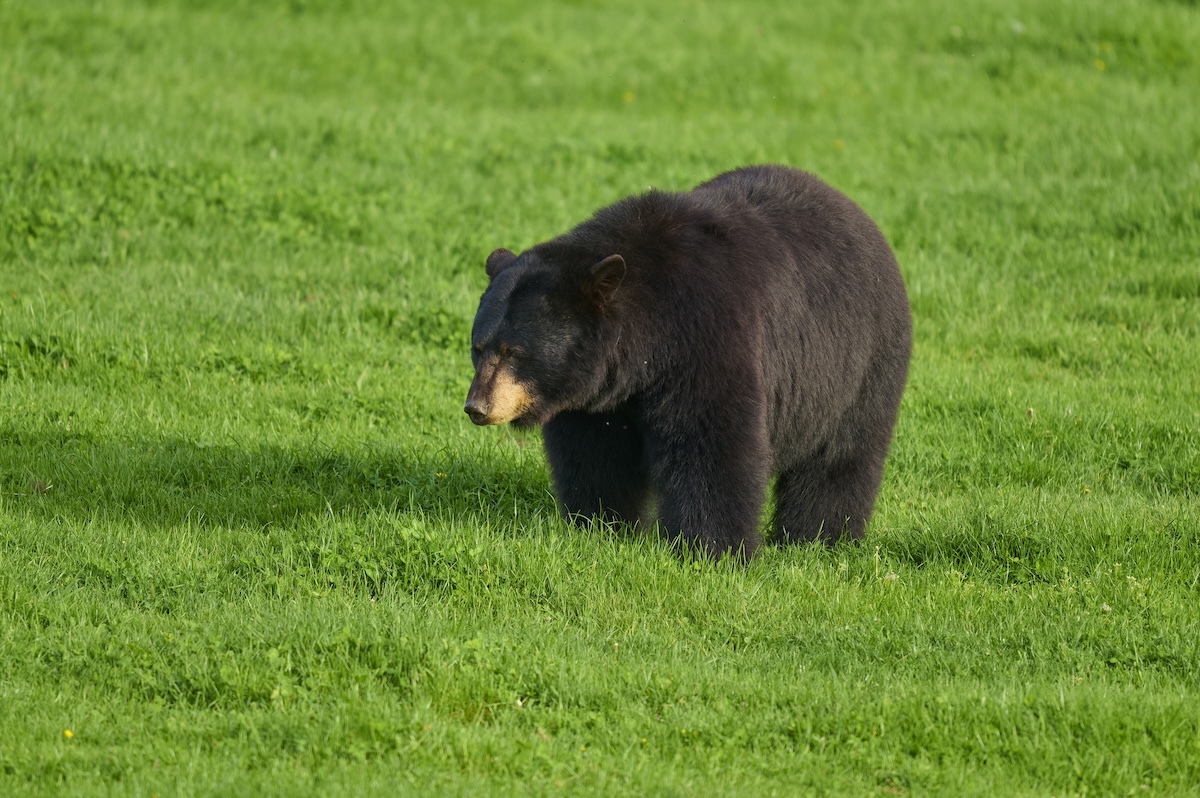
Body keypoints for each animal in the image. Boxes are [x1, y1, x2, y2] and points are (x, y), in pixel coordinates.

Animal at [465, 165, 911, 559]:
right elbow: (594, 454)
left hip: (859, 364)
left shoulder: (706, 339)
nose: (477, 407)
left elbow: (710, 446)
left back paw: (817, 539)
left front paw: (712, 550)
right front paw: (600, 527)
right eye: (479, 346)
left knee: (839, 457)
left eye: (515, 351)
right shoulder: (596, 394)